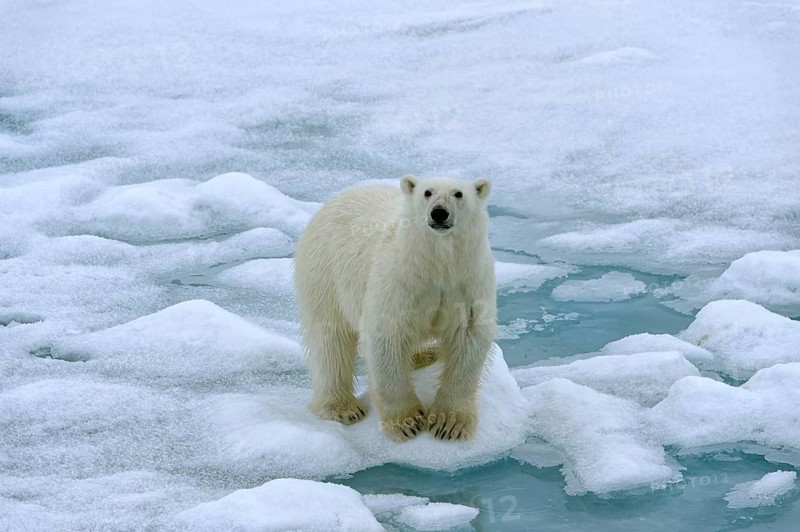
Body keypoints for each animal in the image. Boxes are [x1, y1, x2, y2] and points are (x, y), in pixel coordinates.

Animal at [293, 175, 496, 441]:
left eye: (458, 193)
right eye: (427, 192)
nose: (439, 213)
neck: (437, 264)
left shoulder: (469, 282)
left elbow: (469, 335)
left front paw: (449, 423)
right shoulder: (399, 280)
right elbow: (386, 335)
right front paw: (407, 421)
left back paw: (426, 355)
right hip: (324, 273)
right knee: (330, 339)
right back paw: (342, 408)